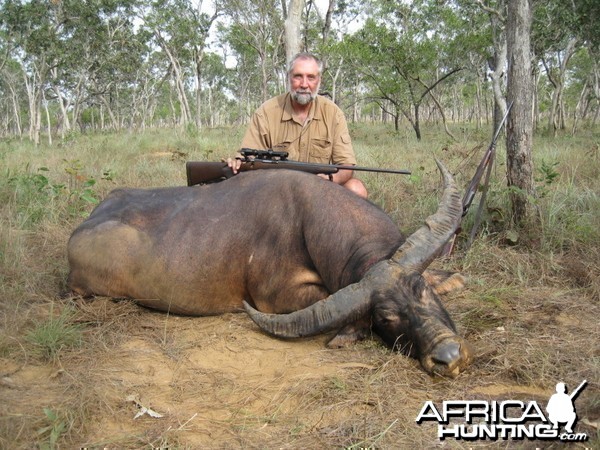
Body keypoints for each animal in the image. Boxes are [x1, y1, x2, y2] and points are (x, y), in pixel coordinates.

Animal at [68, 161, 474, 376]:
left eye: (423, 290)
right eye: (386, 317)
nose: (448, 356)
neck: (308, 216)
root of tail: (80, 232)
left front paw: (451, 280)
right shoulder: (275, 298)